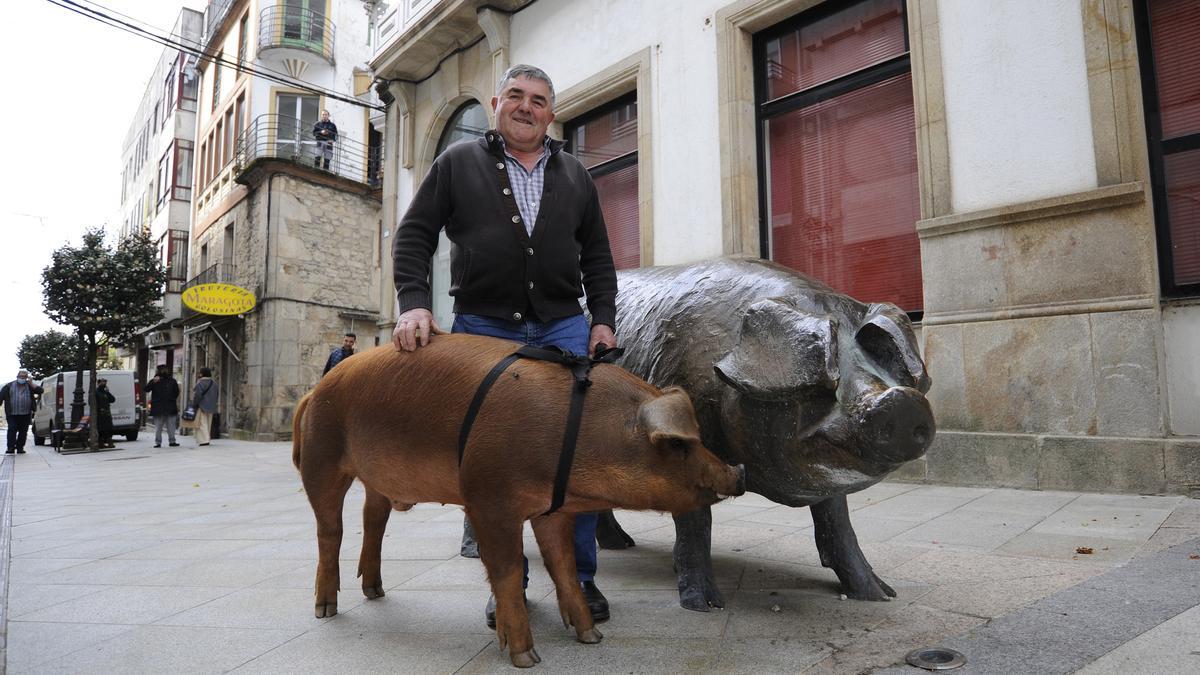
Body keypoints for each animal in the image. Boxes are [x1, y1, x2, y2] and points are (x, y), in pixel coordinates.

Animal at [292, 331, 739, 662]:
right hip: (321, 459)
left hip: (377, 480)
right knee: (330, 531)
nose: (737, 471)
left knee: (373, 520)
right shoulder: (488, 499)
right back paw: (325, 610)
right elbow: (506, 571)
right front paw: (526, 657)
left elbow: (564, 565)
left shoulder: (551, 509)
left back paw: (375, 592)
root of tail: (314, 392)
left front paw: (591, 636)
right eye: (678, 444)